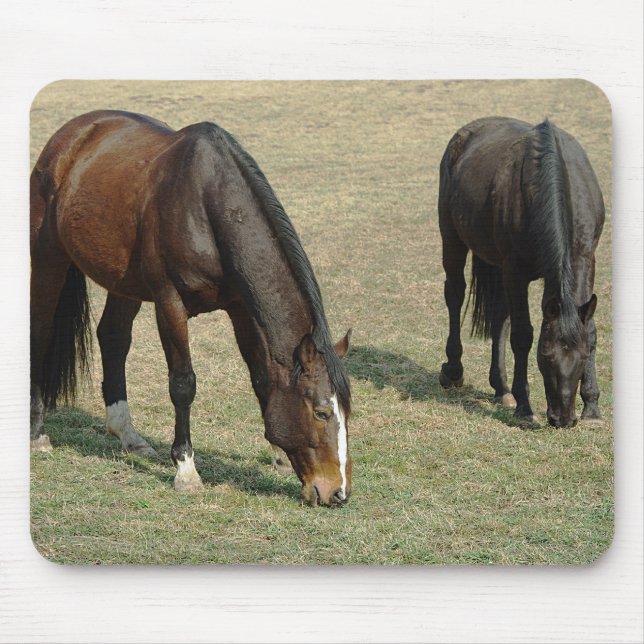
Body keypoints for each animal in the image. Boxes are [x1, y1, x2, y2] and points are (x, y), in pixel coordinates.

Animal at [30, 110, 352, 507]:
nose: (338, 492)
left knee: (113, 338)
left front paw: (277, 455)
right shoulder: (169, 304)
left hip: (124, 281)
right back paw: (38, 432)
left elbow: (261, 377)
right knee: (41, 331)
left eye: (347, 412)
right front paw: (186, 470)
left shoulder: (240, 309)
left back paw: (128, 435)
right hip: (49, 256)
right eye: (321, 413)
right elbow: (183, 384)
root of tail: (74, 133)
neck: (206, 205)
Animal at [437, 117, 605, 427]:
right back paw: (453, 371)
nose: (563, 419)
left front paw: (592, 408)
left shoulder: (585, 261)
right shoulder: (516, 271)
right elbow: (522, 335)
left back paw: (502, 388)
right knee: (455, 294)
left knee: (499, 317)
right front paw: (525, 408)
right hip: (453, 238)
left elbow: (589, 329)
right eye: (546, 356)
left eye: (582, 357)